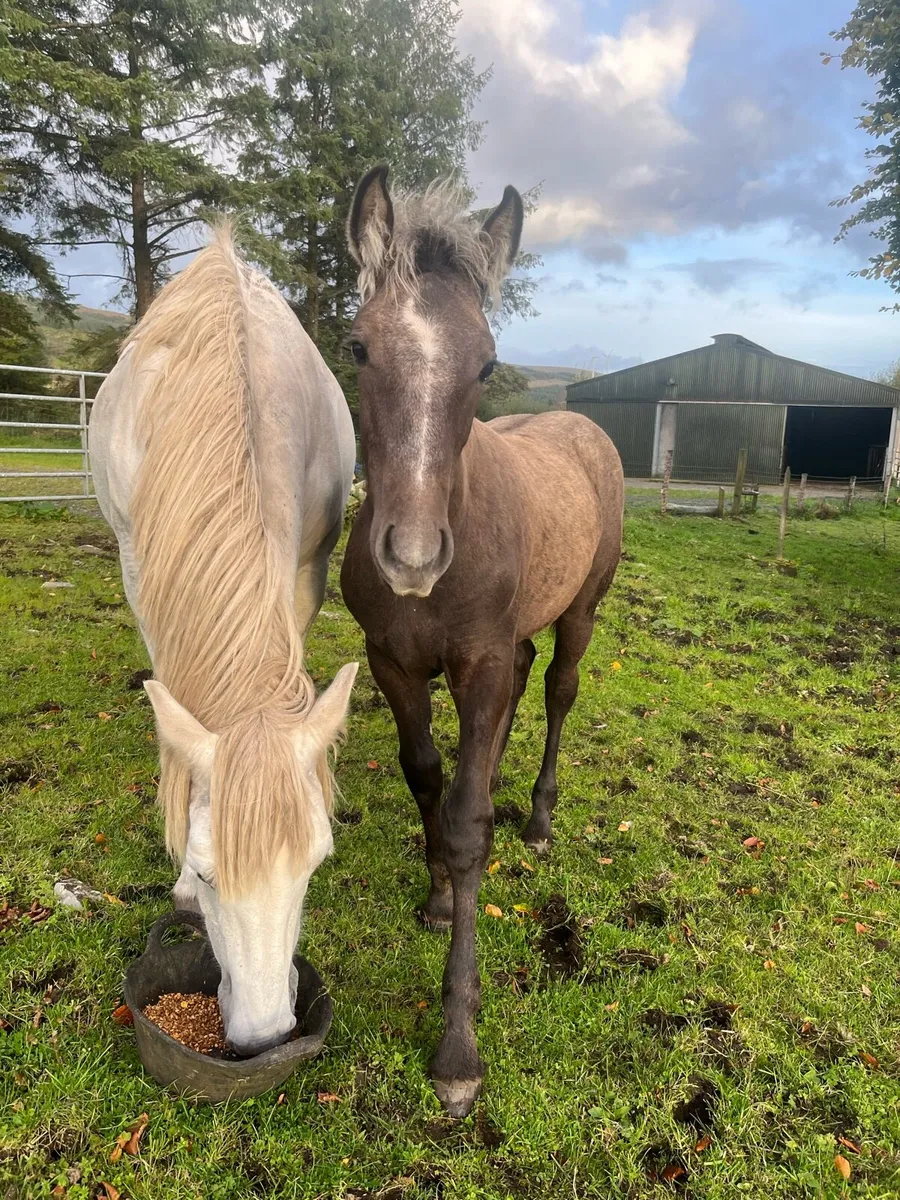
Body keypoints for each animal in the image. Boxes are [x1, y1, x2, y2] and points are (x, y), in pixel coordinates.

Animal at [340, 167, 624, 1116]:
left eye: (489, 363)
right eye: (358, 347)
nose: (411, 556)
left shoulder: (481, 662)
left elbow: (466, 828)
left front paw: (458, 1050)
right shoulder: (394, 664)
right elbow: (426, 776)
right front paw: (433, 898)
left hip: (580, 615)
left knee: (557, 691)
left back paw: (533, 818)